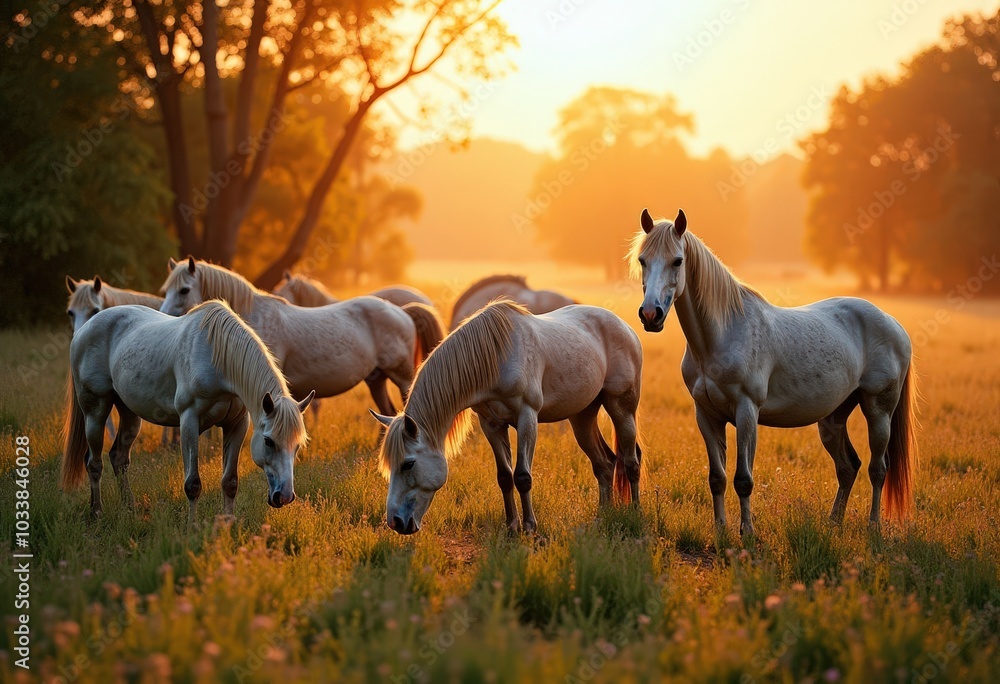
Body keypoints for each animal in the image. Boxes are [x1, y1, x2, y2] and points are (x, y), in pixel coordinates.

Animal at [63, 300, 313, 523]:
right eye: (269, 441)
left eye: (297, 446)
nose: (285, 496)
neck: (218, 361)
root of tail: (84, 330)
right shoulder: (189, 421)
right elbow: (193, 484)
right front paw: (192, 528)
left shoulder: (237, 424)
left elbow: (230, 482)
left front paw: (228, 523)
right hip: (95, 411)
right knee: (94, 463)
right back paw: (96, 512)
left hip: (129, 414)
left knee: (119, 458)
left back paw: (129, 508)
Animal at [159, 258, 444, 416]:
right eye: (166, 289)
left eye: (184, 290)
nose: (163, 318)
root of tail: (403, 312)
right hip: (376, 380)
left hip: (402, 378)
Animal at [372, 300, 643, 535]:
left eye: (408, 463)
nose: (396, 522)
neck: (495, 358)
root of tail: (625, 326)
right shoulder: (491, 425)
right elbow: (504, 477)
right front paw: (512, 526)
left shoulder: (527, 418)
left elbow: (522, 476)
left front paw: (530, 528)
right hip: (582, 416)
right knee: (604, 464)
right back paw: (603, 515)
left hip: (622, 410)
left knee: (631, 462)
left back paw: (636, 512)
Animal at [629, 207, 916, 535]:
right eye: (643, 260)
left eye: (677, 261)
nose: (650, 315)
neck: (723, 333)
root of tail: (893, 324)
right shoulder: (706, 415)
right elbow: (717, 478)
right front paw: (720, 530)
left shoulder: (746, 411)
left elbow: (743, 479)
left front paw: (747, 532)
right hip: (833, 419)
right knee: (848, 468)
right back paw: (833, 523)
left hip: (878, 411)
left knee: (878, 469)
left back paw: (873, 526)